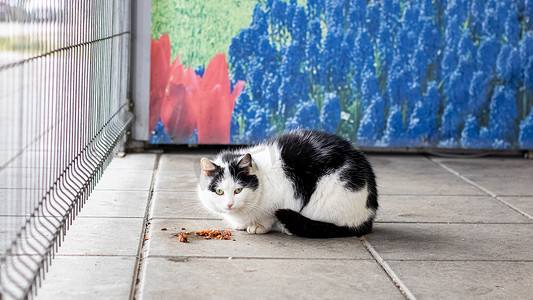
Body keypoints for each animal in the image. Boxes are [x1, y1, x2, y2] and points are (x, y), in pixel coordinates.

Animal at [196, 130, 378, 238]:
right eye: (219, 192)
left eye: (238, 190)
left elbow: (267, 217)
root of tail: (368, 216)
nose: (229, 204)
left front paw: (258, 226)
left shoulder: (281, 198)